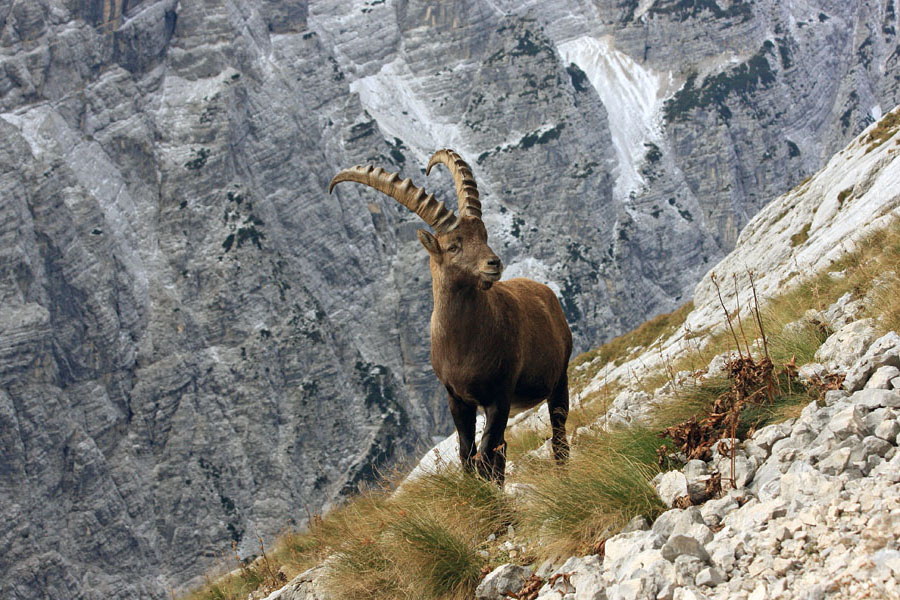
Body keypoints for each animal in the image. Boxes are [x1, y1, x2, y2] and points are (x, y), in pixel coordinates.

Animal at [329, 149, 572, 483]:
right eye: (453, 246)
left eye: (483, 234)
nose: (493, 264)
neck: (464, 345)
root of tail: (545, 291)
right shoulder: (456, 399)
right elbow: (467, 454)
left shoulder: (499, 395)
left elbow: (485, 454)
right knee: (503, 450)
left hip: (558, 378)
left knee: (557, 434)